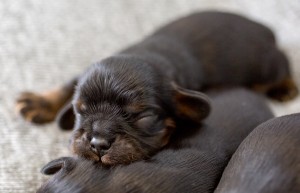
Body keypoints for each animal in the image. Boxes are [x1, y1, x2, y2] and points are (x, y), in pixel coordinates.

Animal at [15, 10, 296, 166]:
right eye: (79, 111)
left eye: (144, 116)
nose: (97, 143)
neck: (145, 54)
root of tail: (264, 29)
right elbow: (69, 83)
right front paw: (41, 102)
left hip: (267, 65)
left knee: (283, 61)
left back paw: (287, 87)